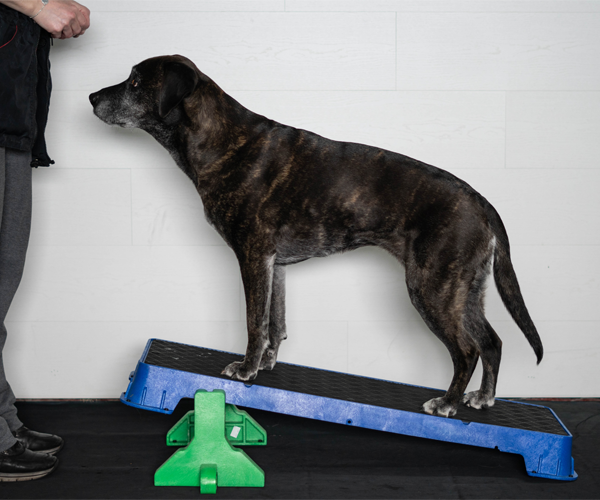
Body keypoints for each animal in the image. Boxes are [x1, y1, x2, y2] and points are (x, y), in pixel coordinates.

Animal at [89, 55, 543, 418]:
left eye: (135, 82)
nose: (92, 97)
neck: (220, 139)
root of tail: (481, 203)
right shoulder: (274, 265)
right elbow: (276, 322)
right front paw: (266, 364)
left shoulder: (252, 256)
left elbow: (254, 322)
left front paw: (246, 370)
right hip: (464, 289)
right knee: (493, 342)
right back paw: (483, 398)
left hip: (432, 288)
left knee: (467, 350)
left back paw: (448, 402)